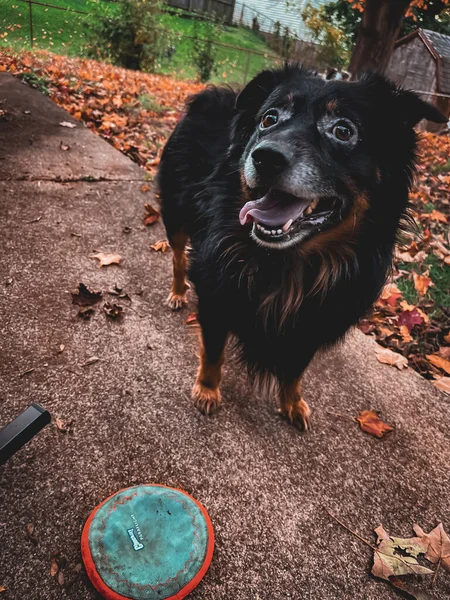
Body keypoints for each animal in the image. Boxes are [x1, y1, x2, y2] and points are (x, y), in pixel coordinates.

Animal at [158, 64, 446, 432]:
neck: (289, 260)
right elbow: (213, 350)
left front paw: (292, 403)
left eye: (343, 130)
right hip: (176, 214)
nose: (265, 157)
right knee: (179, 257)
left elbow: (296, 369)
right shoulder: (216, 289)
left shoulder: (315, 317)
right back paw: (178, 292)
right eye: (269, 119)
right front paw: (207, 390)